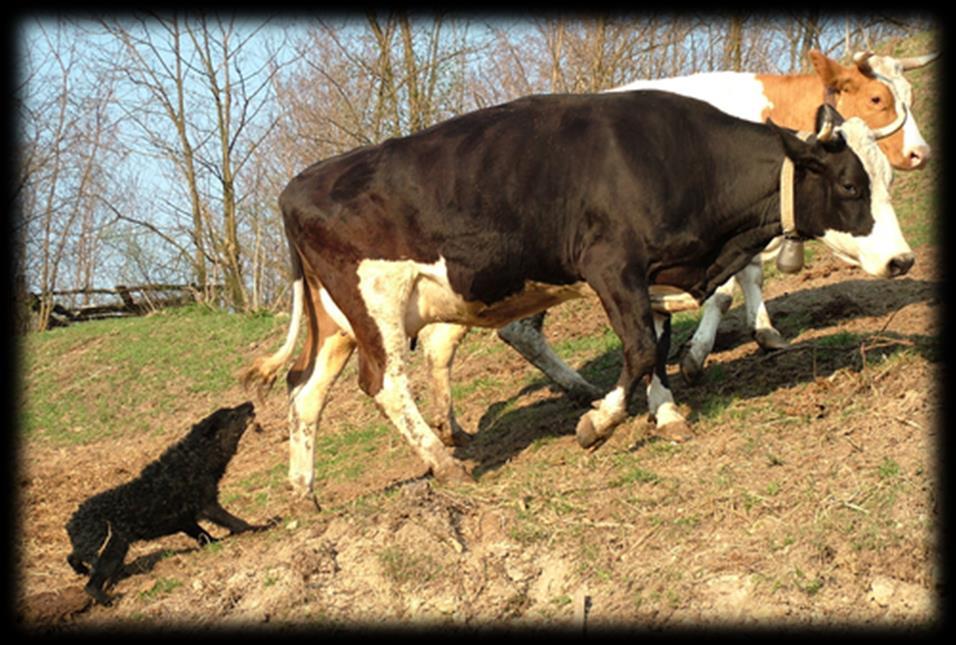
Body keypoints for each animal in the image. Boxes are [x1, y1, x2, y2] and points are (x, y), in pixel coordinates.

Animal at [66, 400, 276, 608]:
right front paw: (263, 526)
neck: (194, 461)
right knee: (91, 585)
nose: (250, 403)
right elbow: (237, 522)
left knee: (73, 557)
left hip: (92, 546)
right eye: (232, 415)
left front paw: (216, 542)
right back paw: (108, 599)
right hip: (114, 545)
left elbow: (204, 535)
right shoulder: (207, 505)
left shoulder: (186, 520)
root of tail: (71, 525)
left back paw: (83, 570)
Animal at [245, 90, 912, 506]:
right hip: (375, 303)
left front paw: (665, 412)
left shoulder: (648, 274)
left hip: (336, 321)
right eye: (851, 185)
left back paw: (303, 492)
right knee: (383, 382)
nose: (901, 260)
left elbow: (656, 343)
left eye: (884, 178)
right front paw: (599, 422)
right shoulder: (611, 266)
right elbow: (639, 345)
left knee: (304, 392)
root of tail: (298, 184)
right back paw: (445, 461)